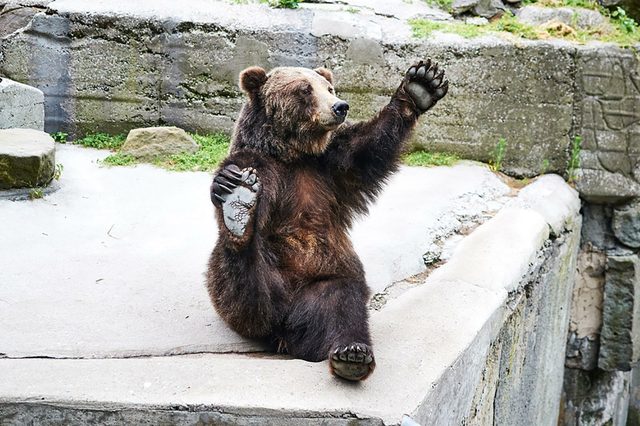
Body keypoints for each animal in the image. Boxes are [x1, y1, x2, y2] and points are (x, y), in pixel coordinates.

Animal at [206, 60, 448, 381]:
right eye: (304, 89)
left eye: (329, 88)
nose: (340, 106)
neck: (293, 154)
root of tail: (282, 327)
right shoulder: (262, 165)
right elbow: (241, 175)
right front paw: (238, 188)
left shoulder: (332, 166)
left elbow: (370, 146)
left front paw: (422, 84)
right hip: (246, 288)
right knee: (243, 287)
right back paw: (239, 215)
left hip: (324, 276)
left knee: (340, 303)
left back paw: (351, 354)